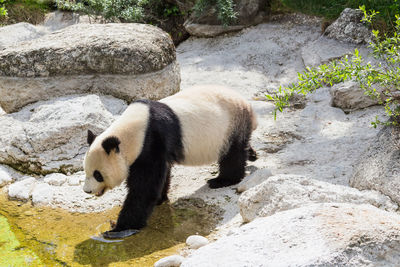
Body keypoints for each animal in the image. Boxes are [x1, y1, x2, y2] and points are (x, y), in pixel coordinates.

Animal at [83, 86, 258, 239]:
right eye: (86, 171)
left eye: (97, 174)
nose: (87, 191)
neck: (130, 133)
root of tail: (248, 105)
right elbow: (161, 174)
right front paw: (160, 198)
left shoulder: (151, 141)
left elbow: (145, 187)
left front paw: (118, 229)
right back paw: (252, 154)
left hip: (230, 126)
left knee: (232, 154)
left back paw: (222, 180)